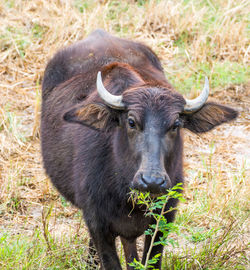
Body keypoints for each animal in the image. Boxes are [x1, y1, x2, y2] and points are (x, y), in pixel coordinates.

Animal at [41, 28, 238, 268]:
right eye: (131, 121)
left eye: (176, 124)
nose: (152, 181)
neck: (124, 193)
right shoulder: (97, 224)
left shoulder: (163, 220)